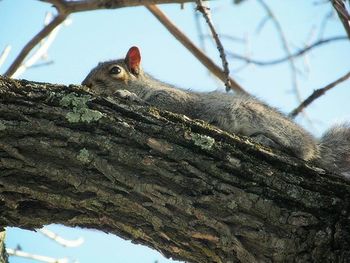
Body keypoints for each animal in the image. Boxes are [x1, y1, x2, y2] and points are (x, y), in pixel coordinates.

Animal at [81, 46, 350, 178]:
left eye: (115, 71)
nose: (86, 84)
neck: (146, 85)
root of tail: (317, 145)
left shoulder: (175, 100)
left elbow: (163, 103)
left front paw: (129, 96)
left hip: (256, 116)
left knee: (301, 152)